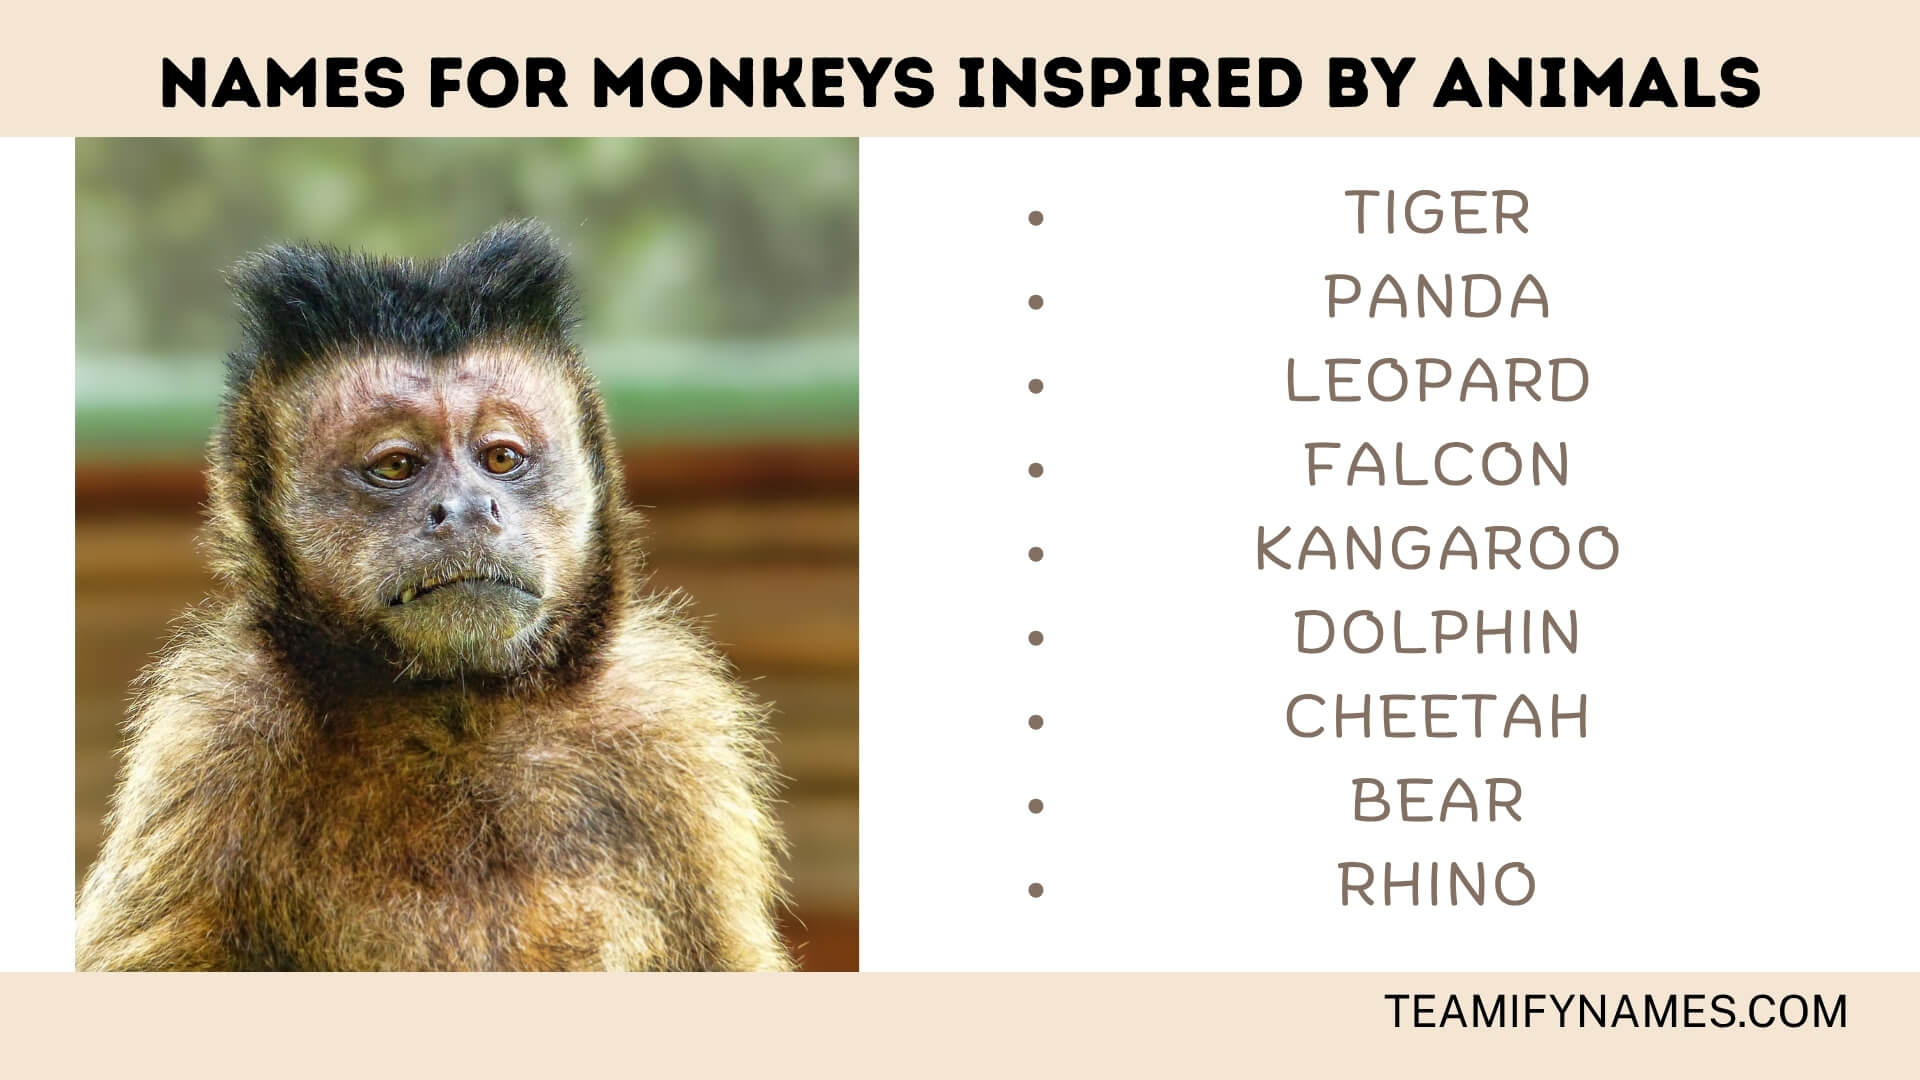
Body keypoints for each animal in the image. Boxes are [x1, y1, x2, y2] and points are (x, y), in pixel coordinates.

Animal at [75, 221, 792, 971]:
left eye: (502, 458)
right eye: (396, 466)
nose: (469, 509)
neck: (458, 711)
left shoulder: (669, 733)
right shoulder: (214, 740)